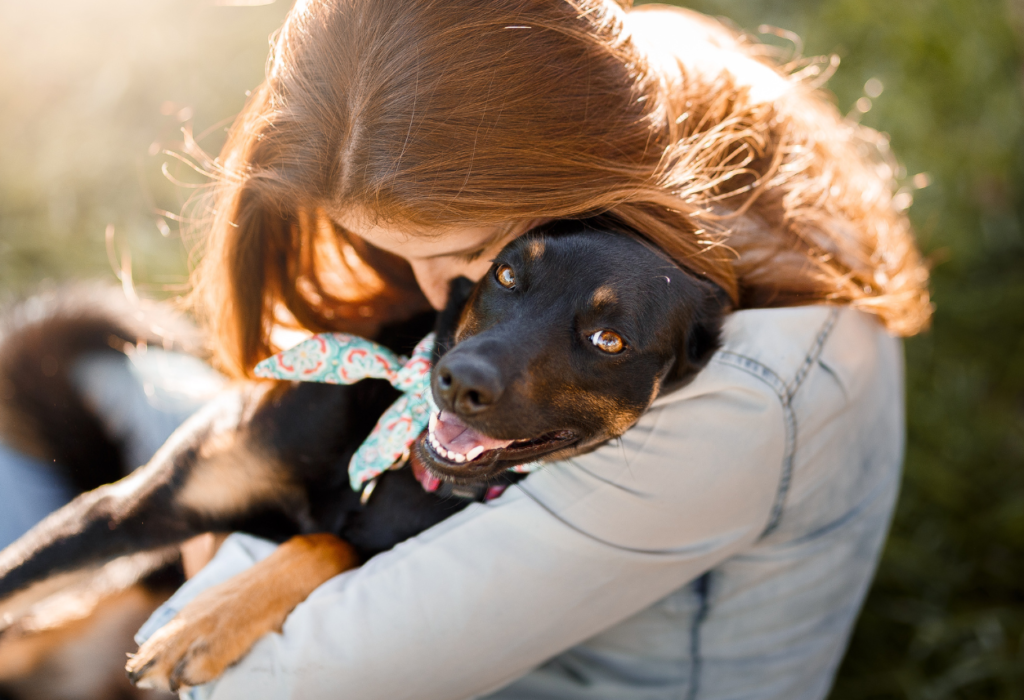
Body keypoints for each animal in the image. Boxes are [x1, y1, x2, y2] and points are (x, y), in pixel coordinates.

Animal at [0, 221, 729, 691]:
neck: (392, 456)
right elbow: (17, 578)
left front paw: (209, 620)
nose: (456, 381)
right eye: (507, 274)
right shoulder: (132, 510)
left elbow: (330, 544)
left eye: (608, 339)